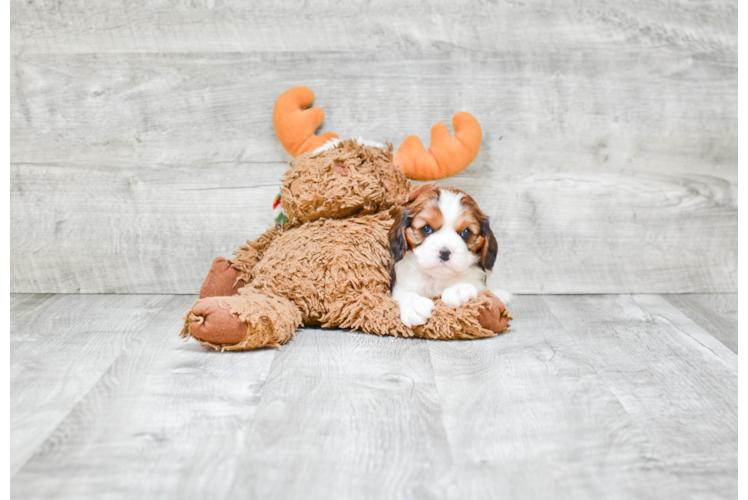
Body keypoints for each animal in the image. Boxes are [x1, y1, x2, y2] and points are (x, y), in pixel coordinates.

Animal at [388, 185, 512, 328]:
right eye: (426, 228)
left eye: (466, 232)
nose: (445, 252)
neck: (438, 278)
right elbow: (403, 293)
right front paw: (413, 305)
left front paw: (458, 288)